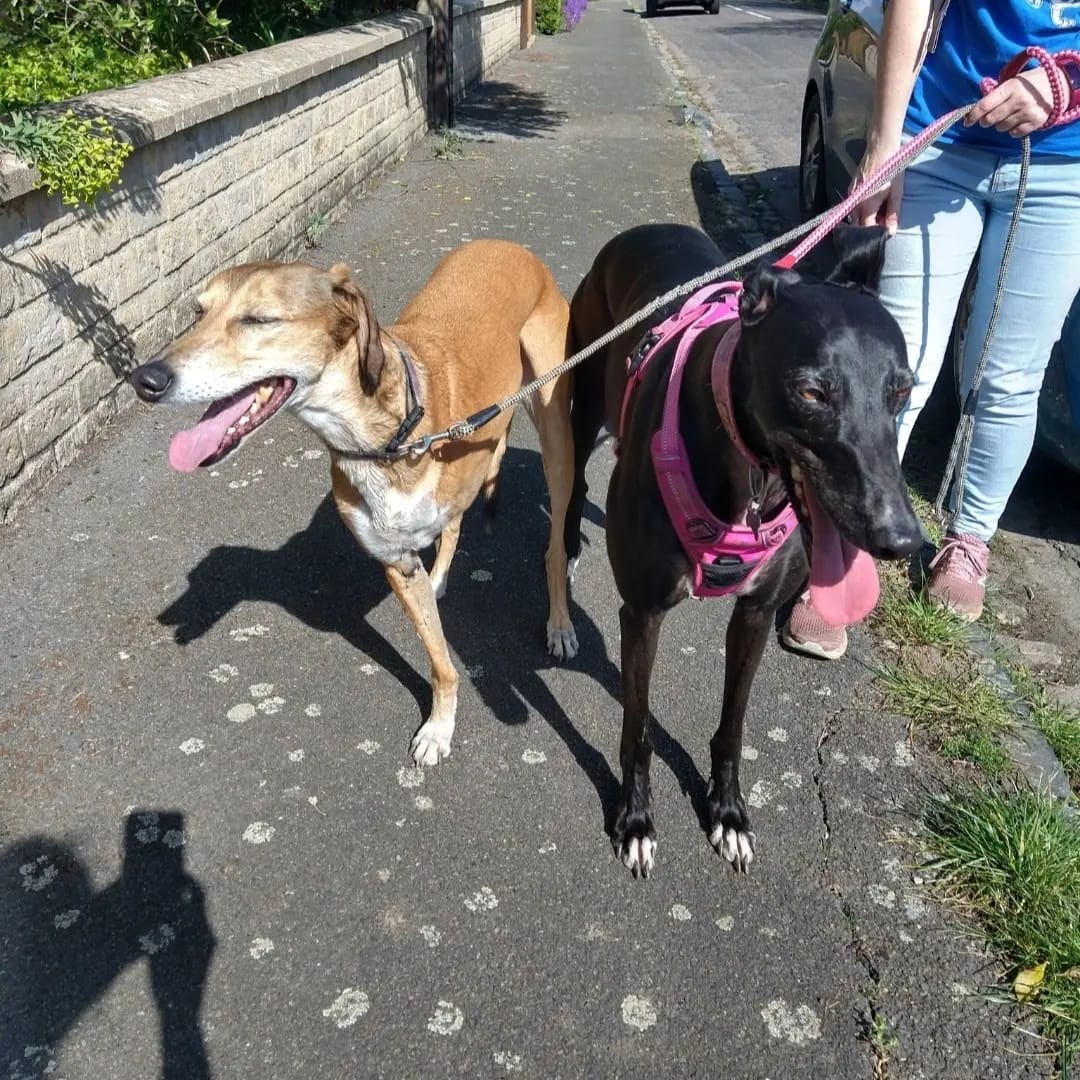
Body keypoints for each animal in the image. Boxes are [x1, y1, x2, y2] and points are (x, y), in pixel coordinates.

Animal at [130, 243, 578, 768]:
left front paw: (438, 729)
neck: (385, 440)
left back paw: (559, 623)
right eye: (198, 313)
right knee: (455, 524)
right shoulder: (397, 562)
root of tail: (513, 248)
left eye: (260, 318)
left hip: (557, 440)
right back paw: (442, 577)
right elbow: (440, 660)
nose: (146, 379)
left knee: (554, 548)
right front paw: (439, 722)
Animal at [565, 221, 920, 876]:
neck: (748, 476)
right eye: (812, 393)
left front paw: (727, 813)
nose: (901, 538)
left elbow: (733, 724)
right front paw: (635, 820)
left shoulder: (755, 612)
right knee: (573, 475)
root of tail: (644, 230)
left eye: (901, 392)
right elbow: (637, 728)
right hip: (584, 401)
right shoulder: (643, 613)